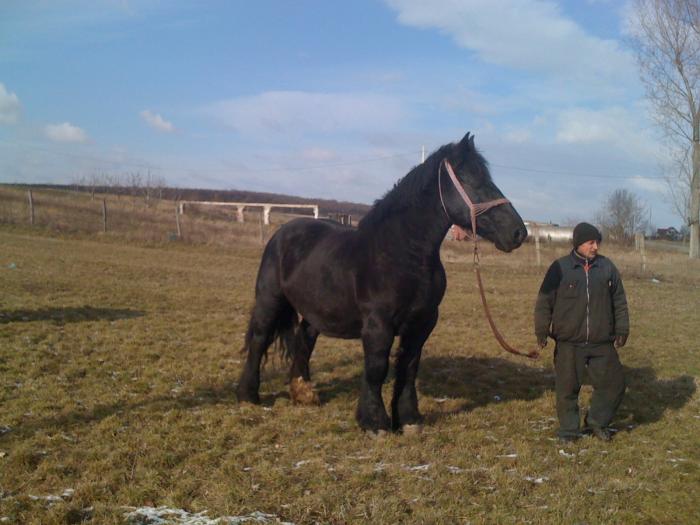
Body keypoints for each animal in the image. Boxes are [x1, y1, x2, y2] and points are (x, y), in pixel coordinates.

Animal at [237, 133, 524, 432]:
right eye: (470, 179)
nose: (518, 232)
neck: (402, 252)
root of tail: (282, 232)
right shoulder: (378, 324)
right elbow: (376, 368)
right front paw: (375, 422)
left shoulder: (422, 323)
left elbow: (408, 367)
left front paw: (409, 419)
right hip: (270, 300)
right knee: (259, 339)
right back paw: (248, 395)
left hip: (317, 310)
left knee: (304, 339)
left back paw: (303, 393)